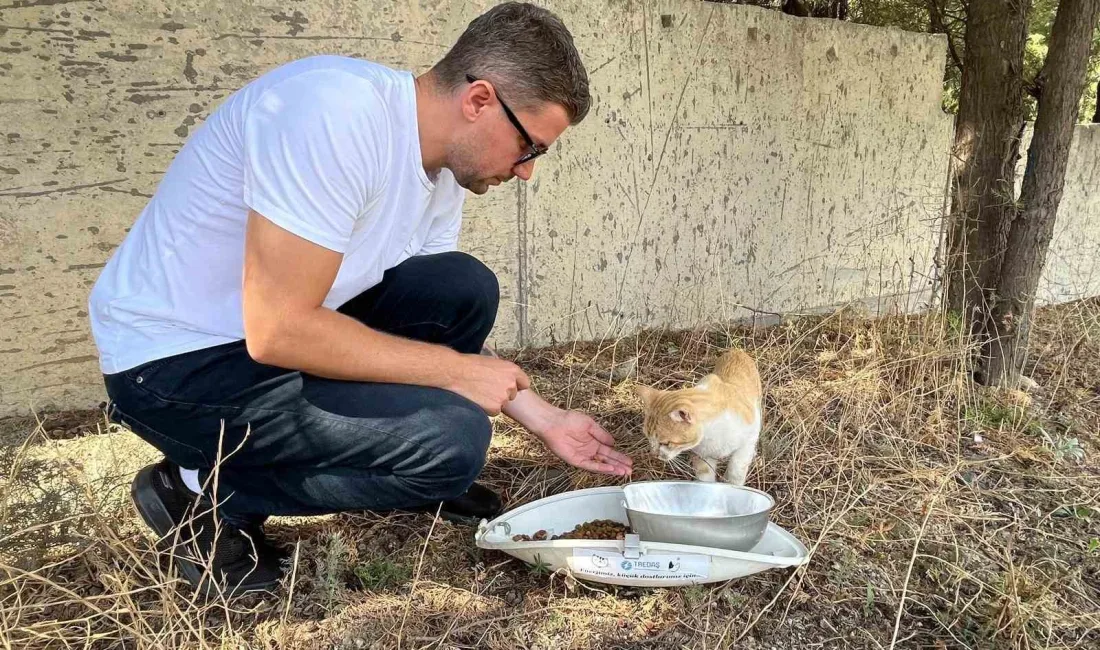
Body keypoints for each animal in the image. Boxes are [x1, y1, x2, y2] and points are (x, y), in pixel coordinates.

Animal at [633, 351, 761, 483]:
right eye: (647, 437)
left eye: (666, 443)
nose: (653, 454)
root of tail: (737, 350)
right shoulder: (702, 457)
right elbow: (705, 478)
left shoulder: (748, 440)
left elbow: (736, 470)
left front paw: (732, 482)